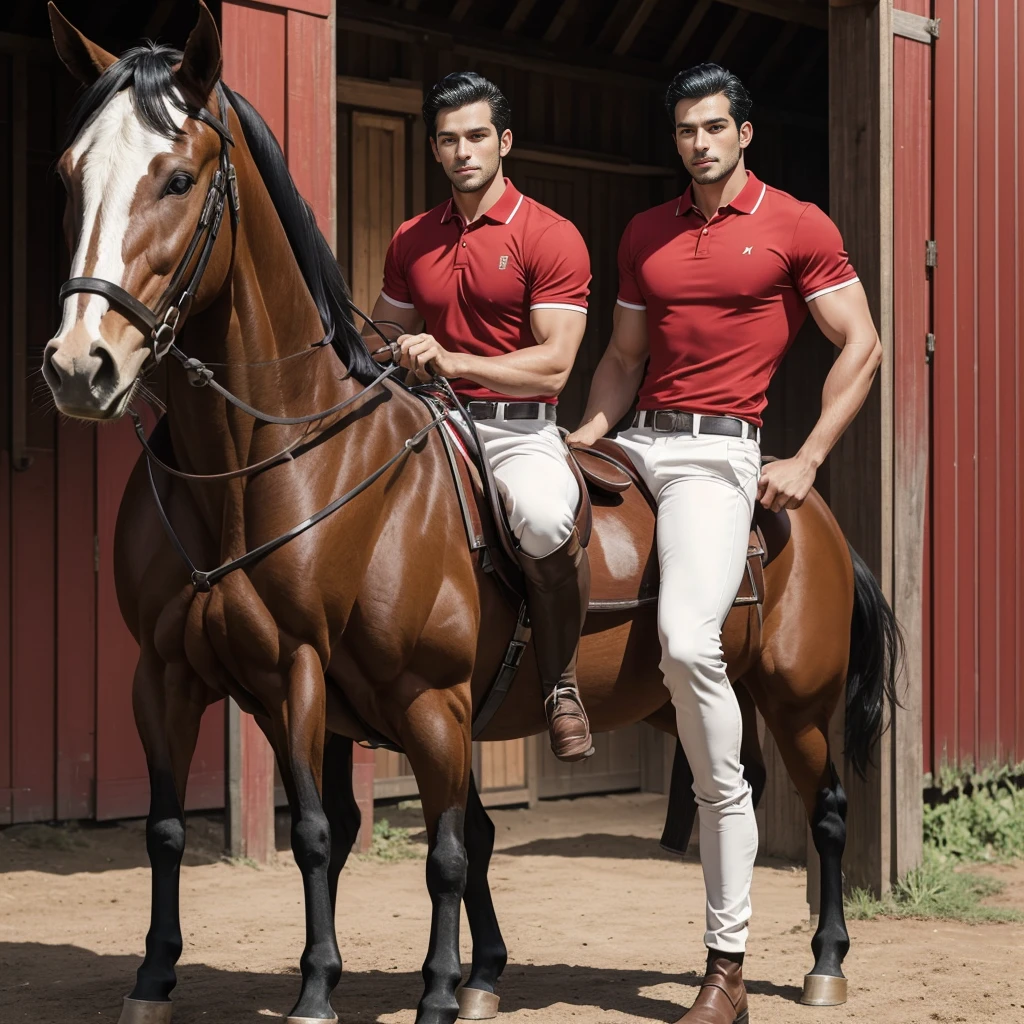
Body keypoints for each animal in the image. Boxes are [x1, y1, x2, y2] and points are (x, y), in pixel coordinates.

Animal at [44, 8, 901, 1024]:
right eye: (69, 172)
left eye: (177, 178)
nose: (78, 366)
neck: (258, 469)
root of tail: (796, 500)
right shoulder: (175, 677)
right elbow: (177, 829)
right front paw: (155, 980)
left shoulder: (371, 685)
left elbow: (395, 843)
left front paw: (375, 989)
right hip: (681, 703)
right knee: (735, 794)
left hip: (795, 700)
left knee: (818, 807)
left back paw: (820, 961)